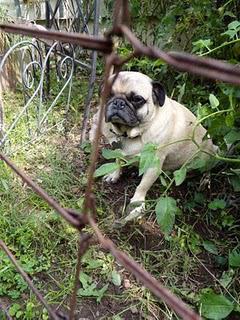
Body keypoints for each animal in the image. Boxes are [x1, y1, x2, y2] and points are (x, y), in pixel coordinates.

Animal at [89, 71, 217, 224]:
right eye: (108, 94)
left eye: (137, 99)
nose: (118, 102)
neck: (133, 133)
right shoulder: (117, 150)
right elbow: (118, 162)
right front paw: (114, 175)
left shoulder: (153, 164)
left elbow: (143, 185)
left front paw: (137, 204)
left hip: (205, 158)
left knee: (208, 168)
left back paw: (205, 179)